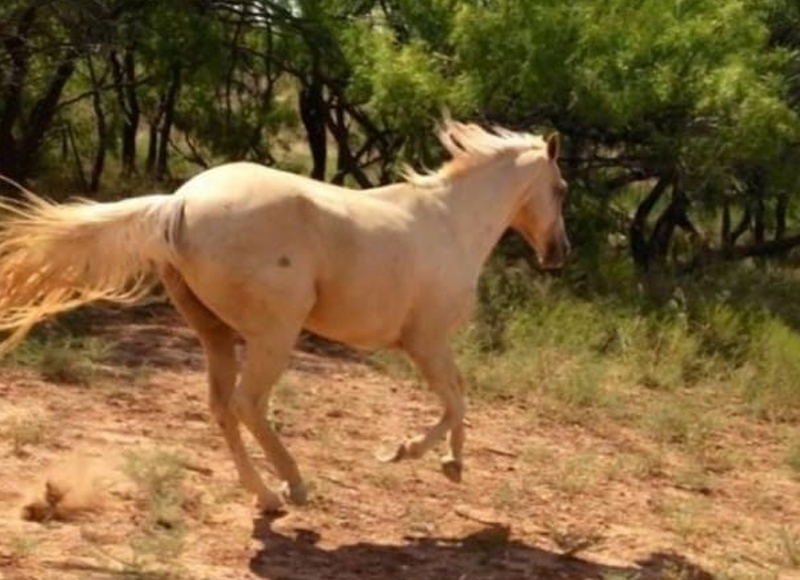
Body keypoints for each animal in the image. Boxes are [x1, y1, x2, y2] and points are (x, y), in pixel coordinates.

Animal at [3, 120, 572, 510]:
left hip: (213, 331)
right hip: (274, 333)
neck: (450, 224)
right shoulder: (425, 341)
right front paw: (406, 453)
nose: (559, 252)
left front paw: (452, 464)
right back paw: (294, 484)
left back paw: (266, 495)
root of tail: (177, 203)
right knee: (247, 404)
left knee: (221, 407)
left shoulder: (431, 345)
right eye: (561, 189)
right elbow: (455, 401)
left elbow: (459, 398)